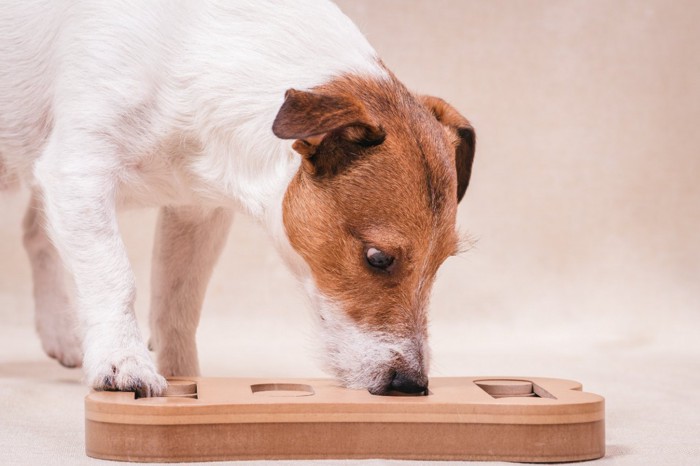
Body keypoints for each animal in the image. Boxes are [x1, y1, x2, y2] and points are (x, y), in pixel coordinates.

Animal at [0, 0, 476, 396]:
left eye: (441, 263)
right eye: (377, 258)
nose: (411, 384)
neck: (197, 51)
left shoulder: (196, 213)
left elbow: (179, 302)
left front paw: (183, 378)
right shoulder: (80, 173)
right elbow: (114, 276)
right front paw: (122, 362)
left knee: (36, 232)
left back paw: (60, 331)